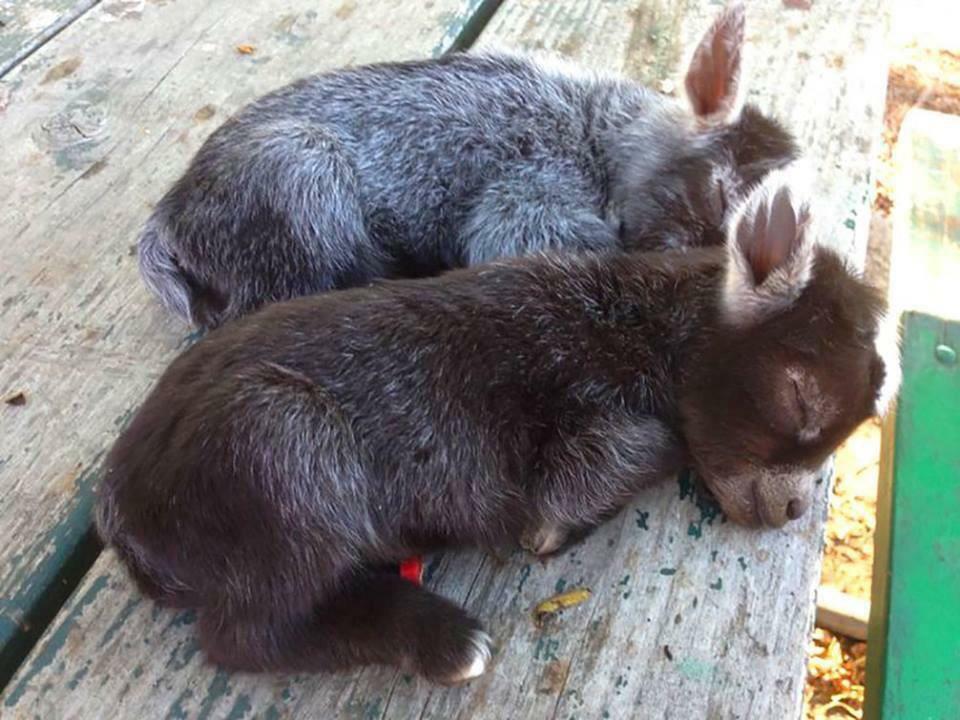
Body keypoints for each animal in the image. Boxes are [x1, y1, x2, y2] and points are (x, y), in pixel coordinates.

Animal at [97, 165, 900, 688]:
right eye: (799, 400)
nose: (793, 508)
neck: (645, 328)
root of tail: (124, 515)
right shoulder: (588, 430)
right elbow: (623, 460)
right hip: (281, 449)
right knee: (244, 637)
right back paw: (445, 640)